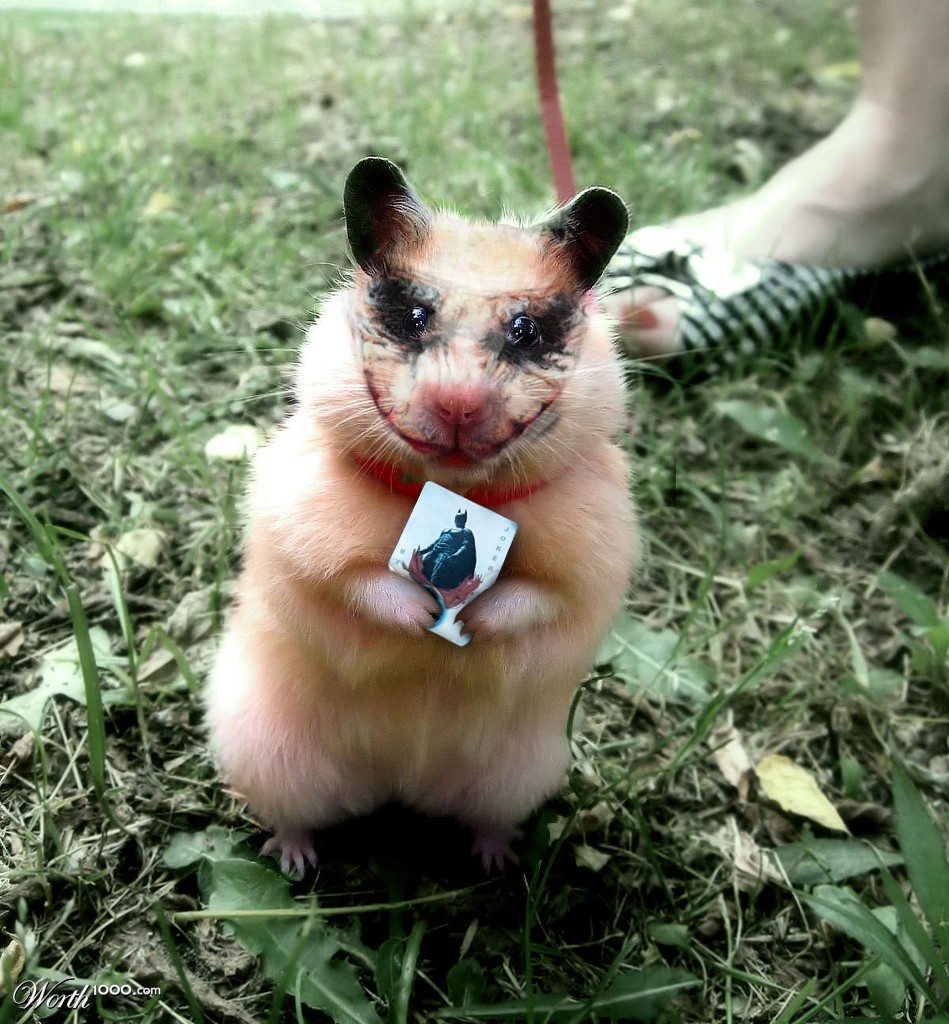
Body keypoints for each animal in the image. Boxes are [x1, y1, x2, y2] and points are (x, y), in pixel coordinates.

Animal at [206, 158, 637, 875]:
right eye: (411, 316)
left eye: (525, 331)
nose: (457, 405)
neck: (451, 484)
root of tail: (399, 785)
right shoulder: (298, 533)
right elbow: (357, 584)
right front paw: (420, 619)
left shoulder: (591, 566)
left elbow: (532, 598)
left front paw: (465, 623)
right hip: (266, 750)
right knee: (293, 814)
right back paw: (295, 860)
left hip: (518, 772)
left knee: (484, 816)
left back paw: (497, 860)